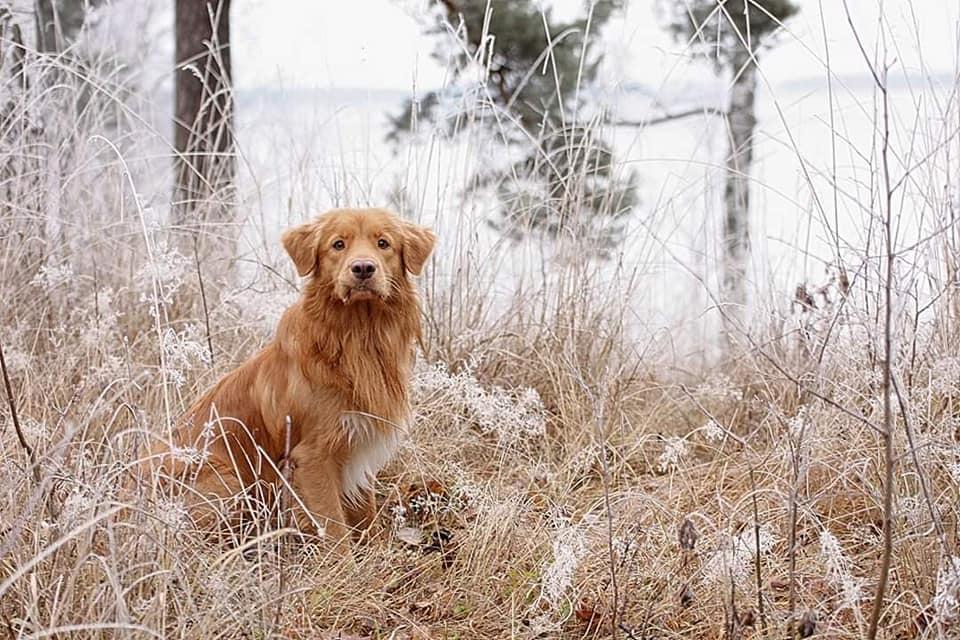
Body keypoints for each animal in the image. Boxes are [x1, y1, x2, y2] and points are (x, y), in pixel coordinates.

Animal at [145, 208, 436, 544]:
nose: (363, 268)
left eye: (383, 243)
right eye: (338, 244)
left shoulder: (358, 442)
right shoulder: (313, 457)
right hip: (227, 480)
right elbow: (336, 531)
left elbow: (366, 515)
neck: (357, 334)